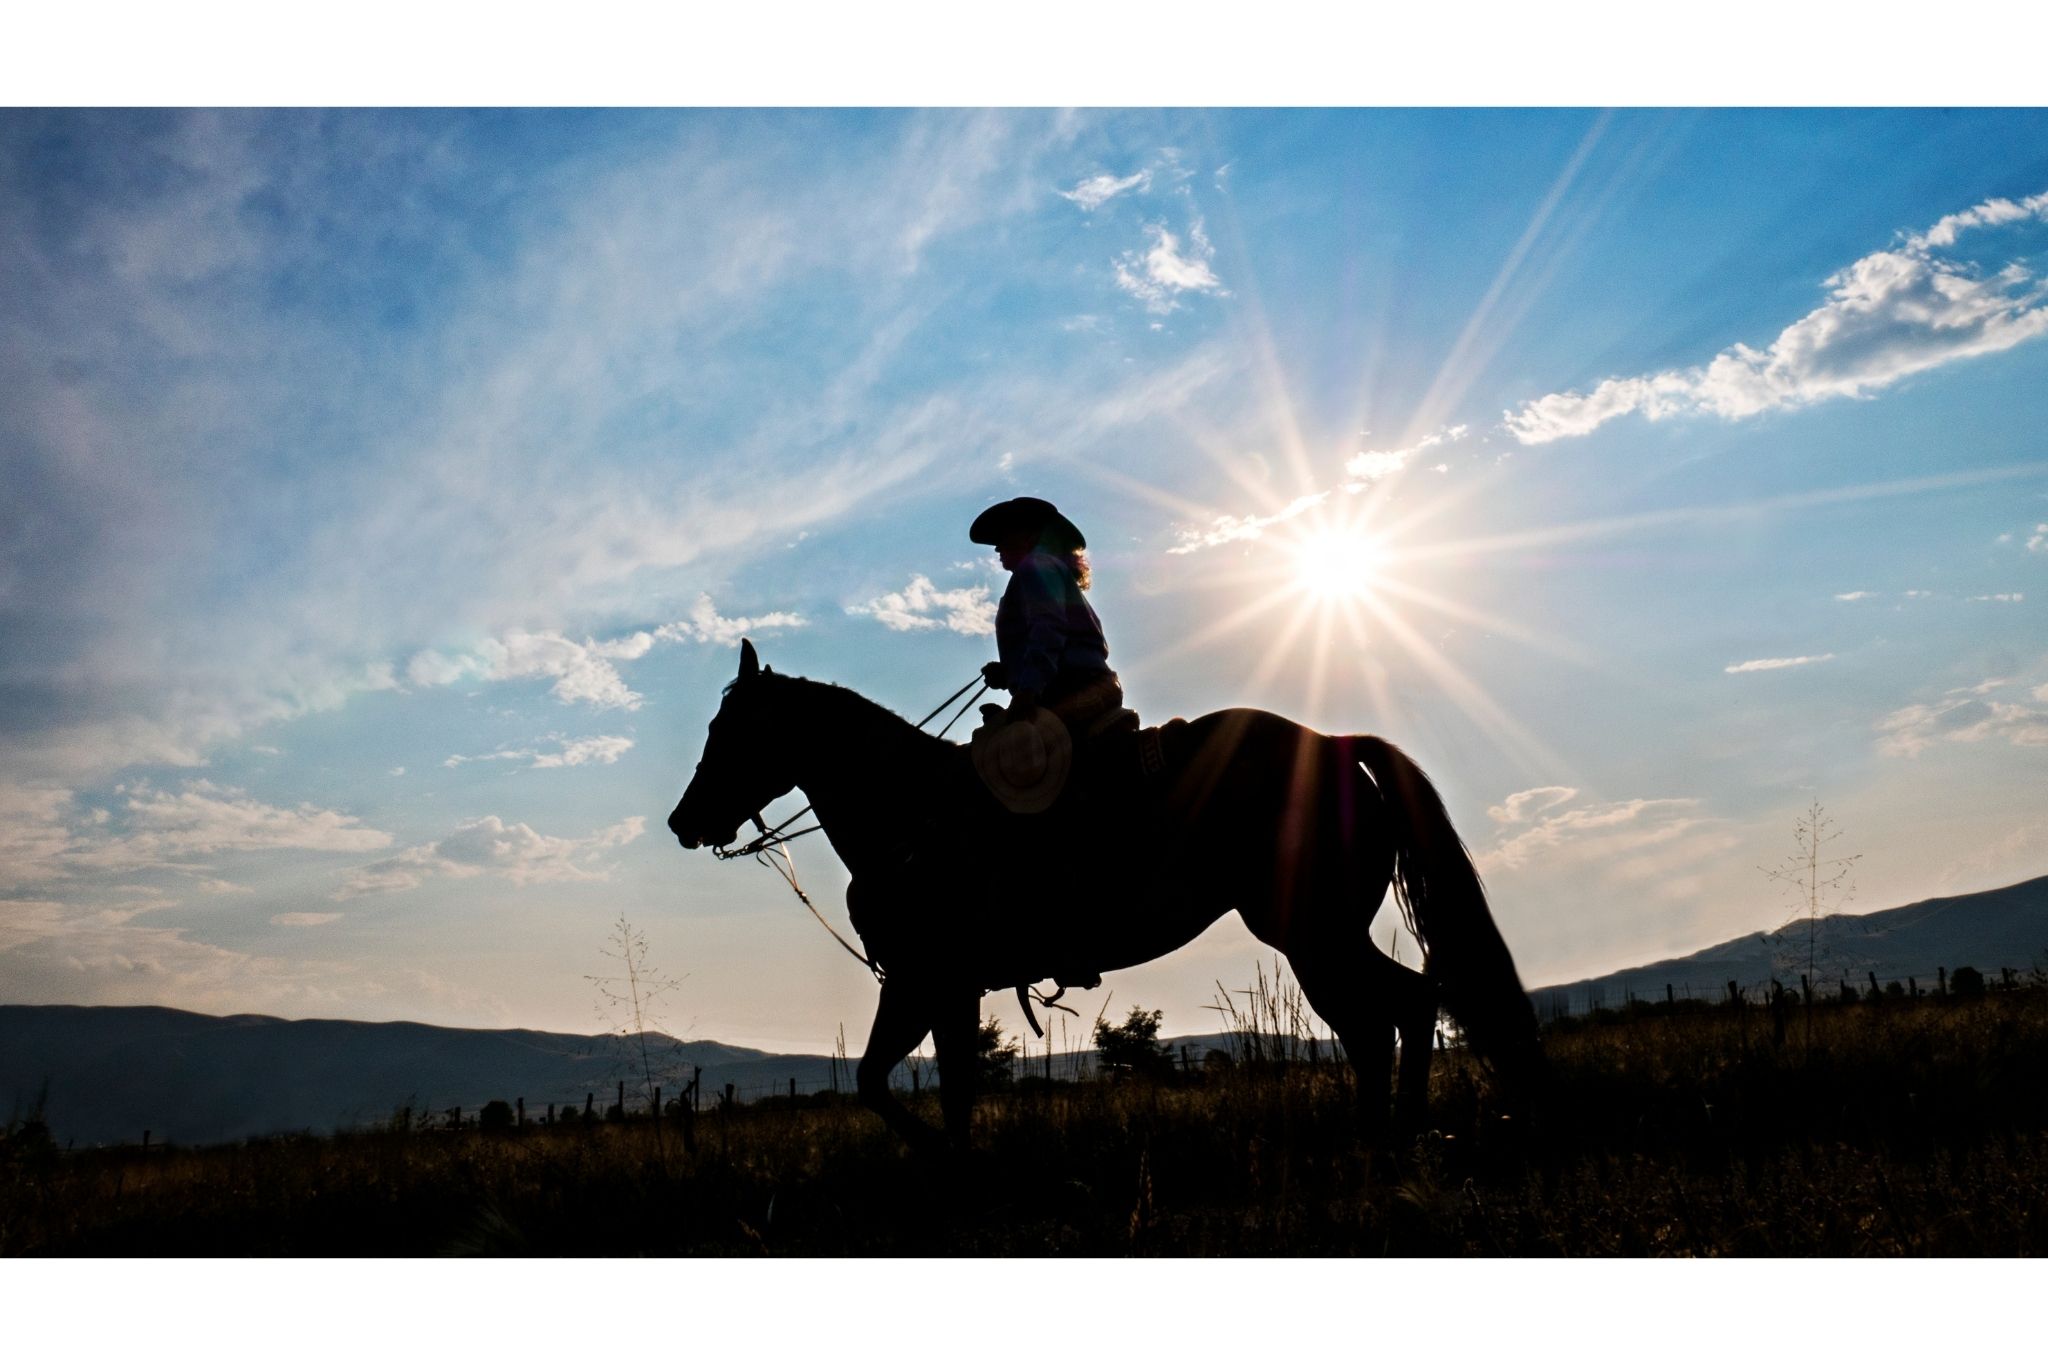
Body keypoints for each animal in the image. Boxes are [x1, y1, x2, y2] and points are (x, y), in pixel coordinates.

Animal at [667, 642, 1540, 1154]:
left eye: (730, 728)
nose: (682, 820)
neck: (913, 811)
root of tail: (1331, 744)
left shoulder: (927, 981)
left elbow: (899, 1085)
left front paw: (947, 1157)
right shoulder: (938, 989)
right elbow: (922, 1084)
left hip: (1312, 933)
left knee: (1391, 1013)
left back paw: (1394, 1133)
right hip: (1319, 936)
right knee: (1388, 1017)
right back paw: (1384, 1134)